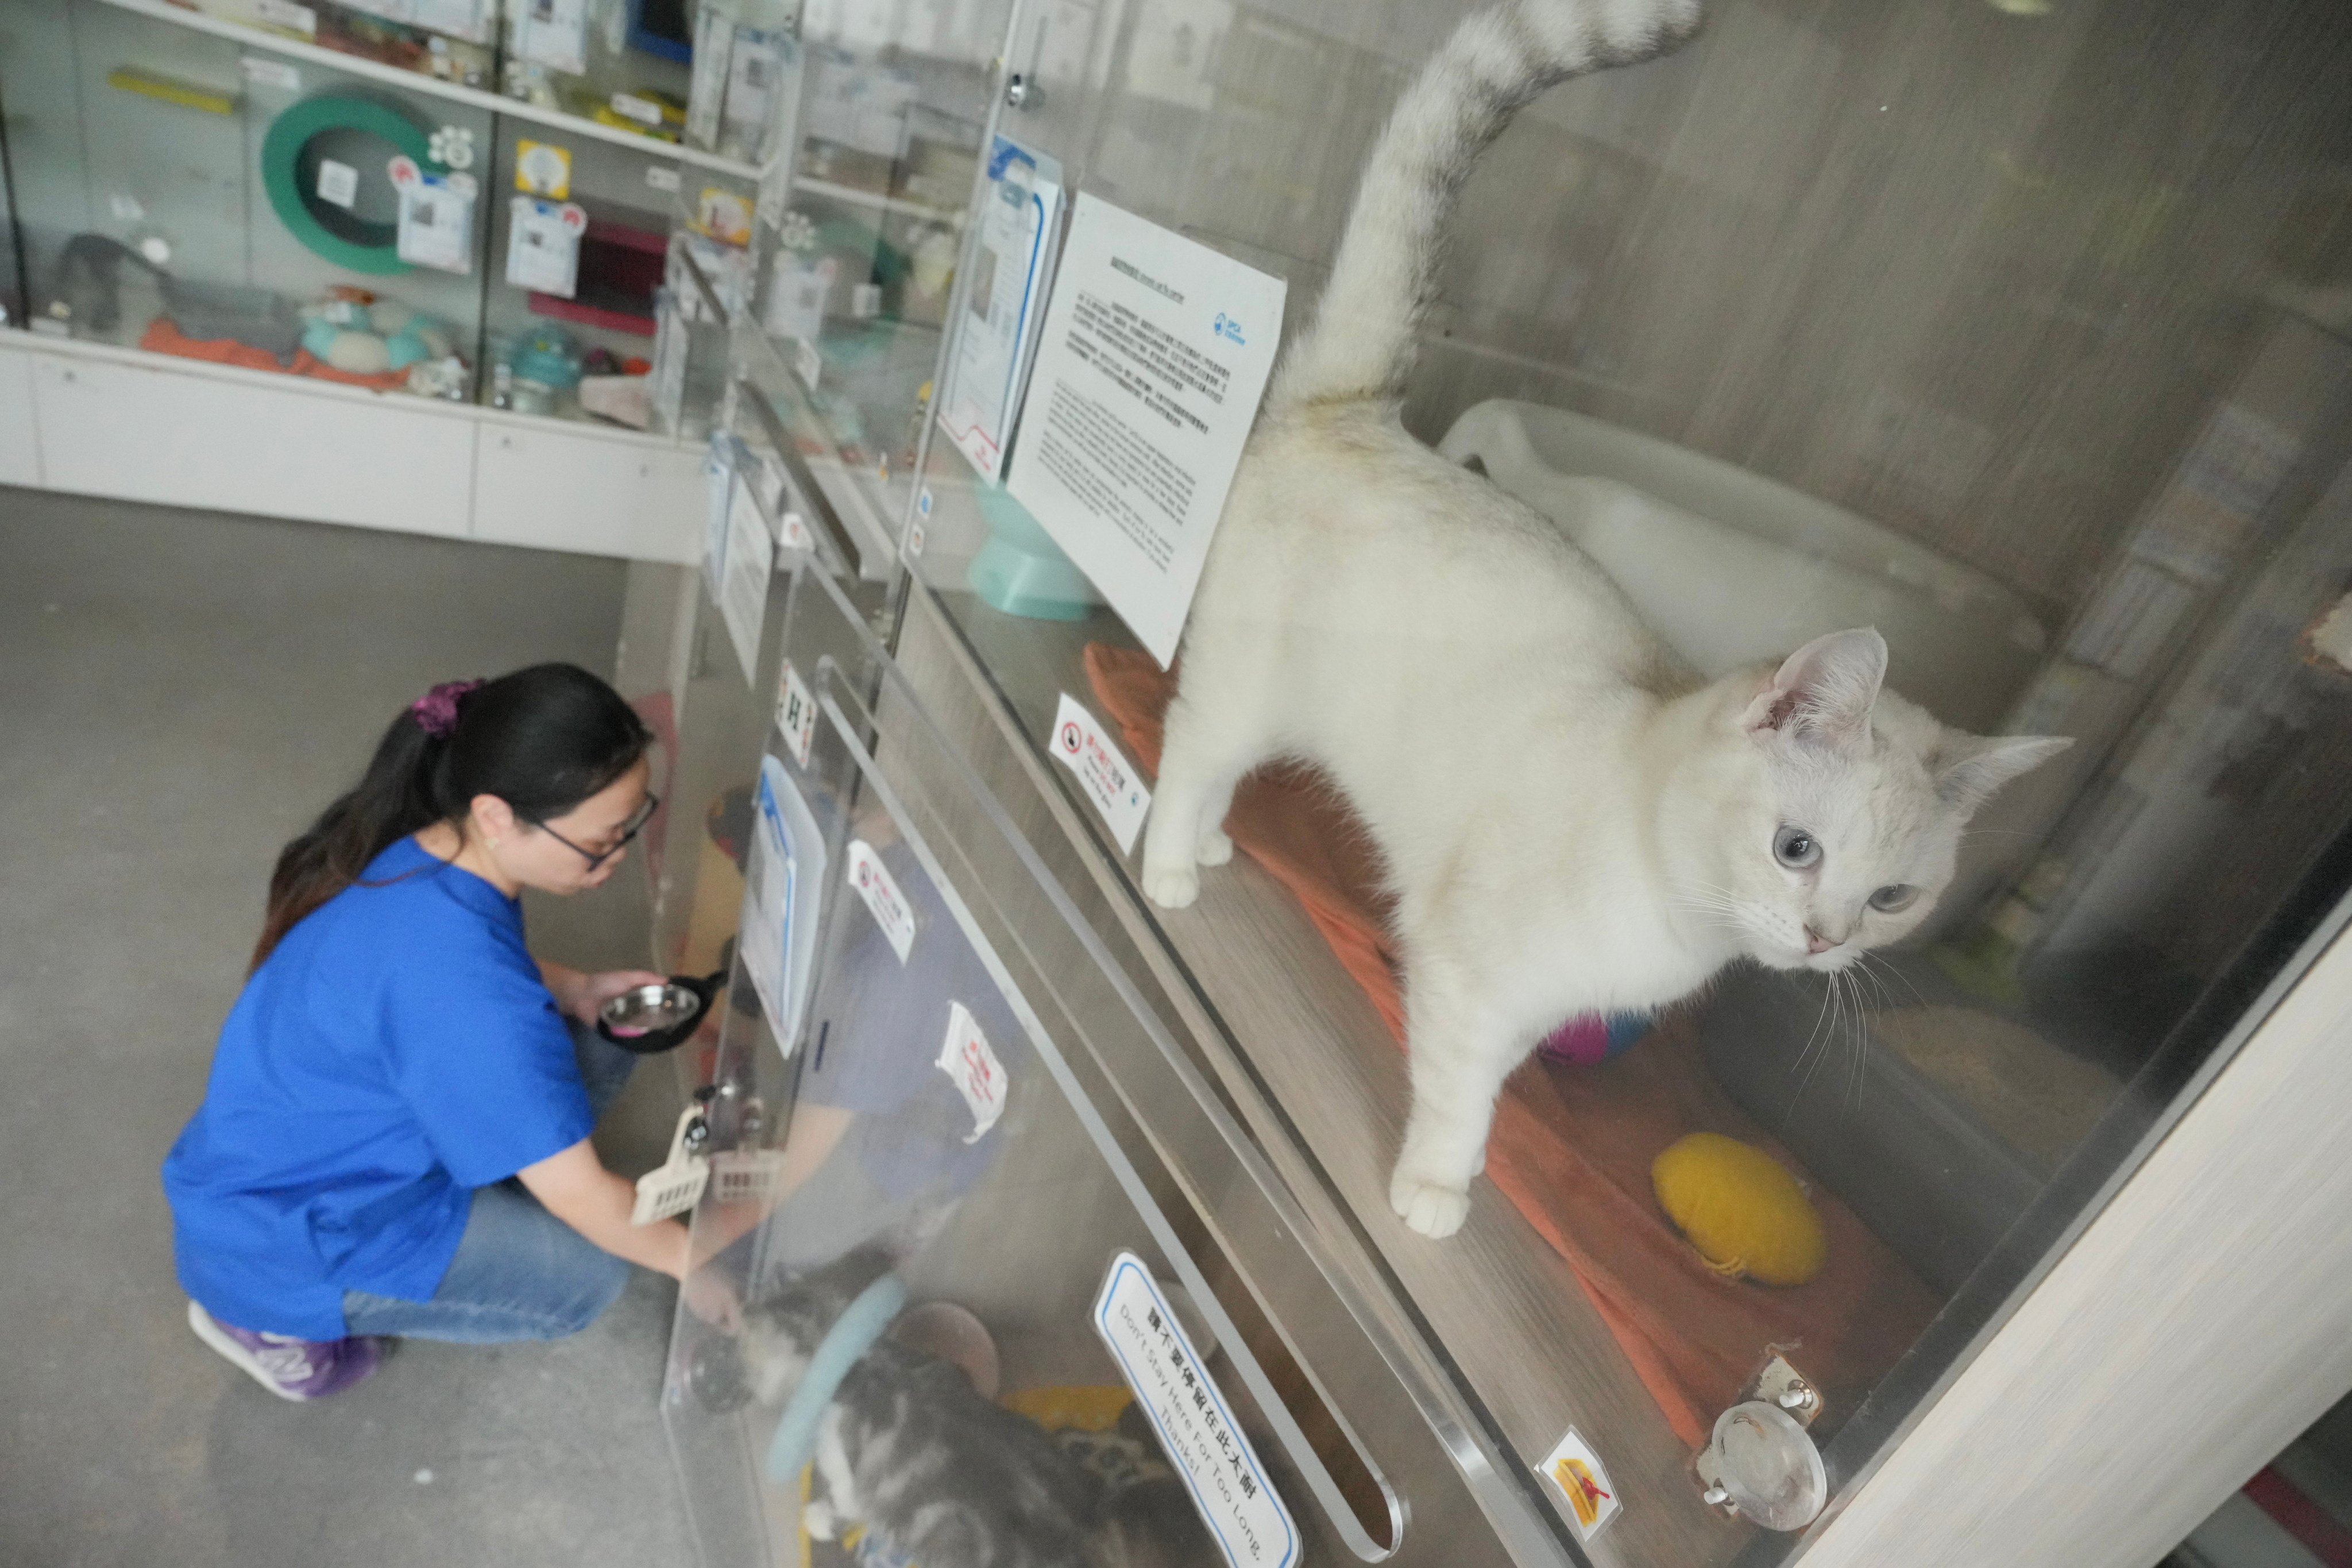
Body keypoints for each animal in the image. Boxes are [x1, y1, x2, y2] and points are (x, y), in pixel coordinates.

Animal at [1143, 0, 2079, 1241]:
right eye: (1795, 849)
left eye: (1892, 900)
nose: (1825, 940)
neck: (1673, 913)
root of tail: (1362, 413)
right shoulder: (1469, 978)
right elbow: (1464, 1098)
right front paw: (1437, 1192)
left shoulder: (1537, 1005)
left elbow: (1499, 1076)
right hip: (1244, 684)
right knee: (1187, 752)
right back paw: (1170, 866)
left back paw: (1207, 845)